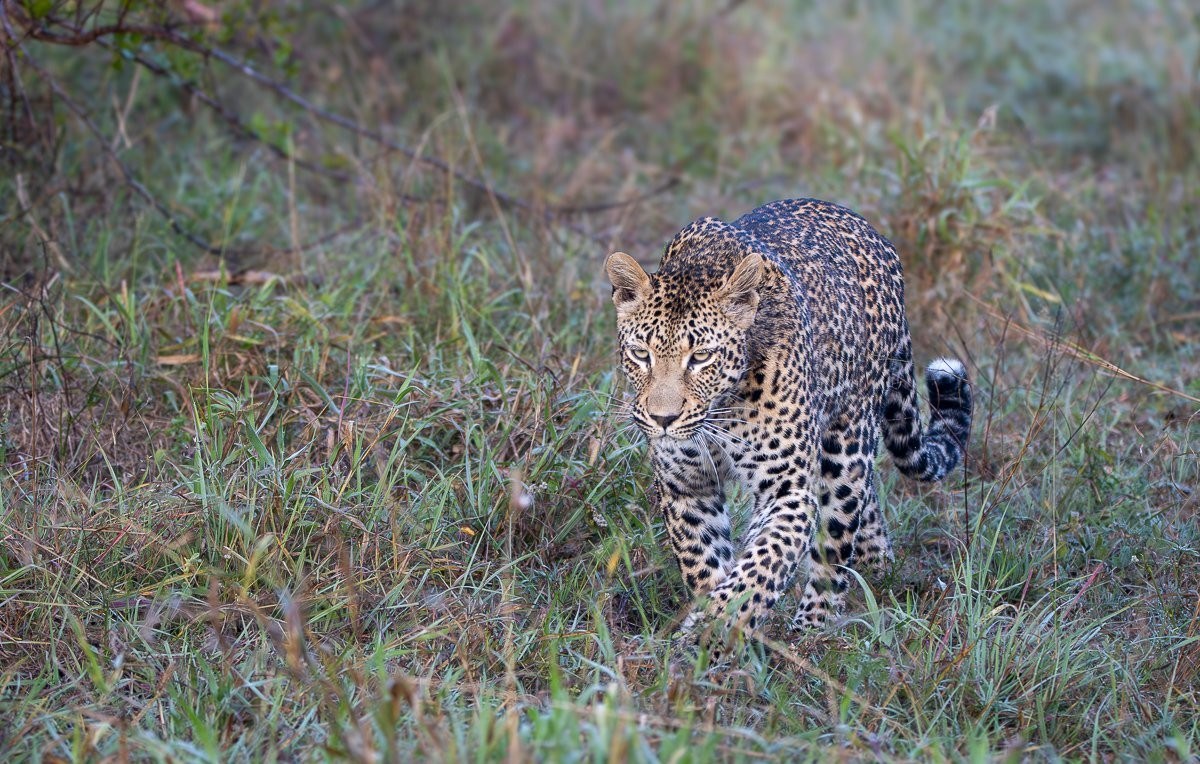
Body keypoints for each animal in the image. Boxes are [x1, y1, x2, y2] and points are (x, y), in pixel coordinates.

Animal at [605, 198, 972, 649]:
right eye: (641, 354)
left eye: (701, 357)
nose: (663, 419)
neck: (720, 410)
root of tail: (875, 235)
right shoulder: (687, 487)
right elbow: (705, 561)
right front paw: (707, 640)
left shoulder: (788, 490)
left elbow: (762, 565)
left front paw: (712, 632)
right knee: (866, 504)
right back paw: (879, 568)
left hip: (845, 447)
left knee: (836, 540)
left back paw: (812, 630)